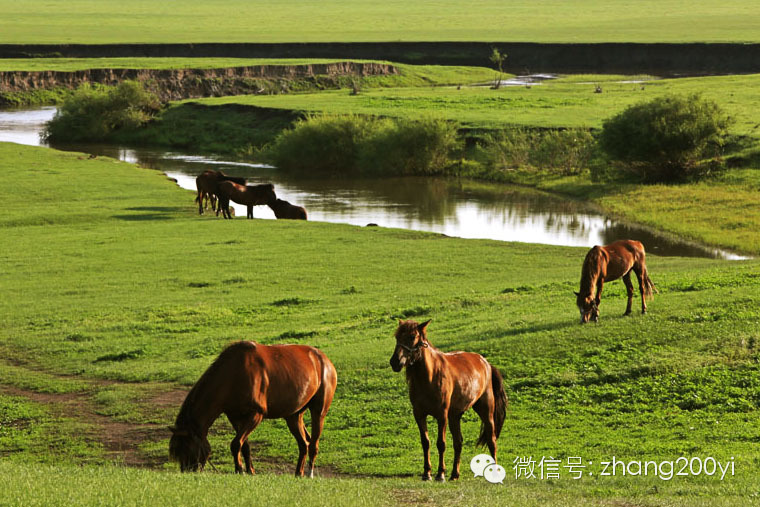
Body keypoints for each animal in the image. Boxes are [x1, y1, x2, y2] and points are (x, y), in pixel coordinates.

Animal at [168, 341, 337, 477]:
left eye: (187, 447)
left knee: (313, 444)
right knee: (304, 444)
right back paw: (298, 473)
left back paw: (309, 474)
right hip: (294, 415)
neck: (233, 374)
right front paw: (249, 471)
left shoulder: (256, 414)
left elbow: (236, 444)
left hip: (319, 412)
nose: (187, 472)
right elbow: (244, 446)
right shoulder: (235, 416)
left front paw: (240, 470)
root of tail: (323, 359)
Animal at [389, 320, 508, 482]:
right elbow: (425, 442)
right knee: (458, 442)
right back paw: (454, 474)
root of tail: (486, 363)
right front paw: (427, 473)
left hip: (486, 411)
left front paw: (440, 474)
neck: (429, 377)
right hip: (455, 416)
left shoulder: (442, 415)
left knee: (491, 439)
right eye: (397, 336)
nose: (395, 362)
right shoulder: (419, 414)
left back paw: (494, 472)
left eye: (412, 336)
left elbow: (441, 443)